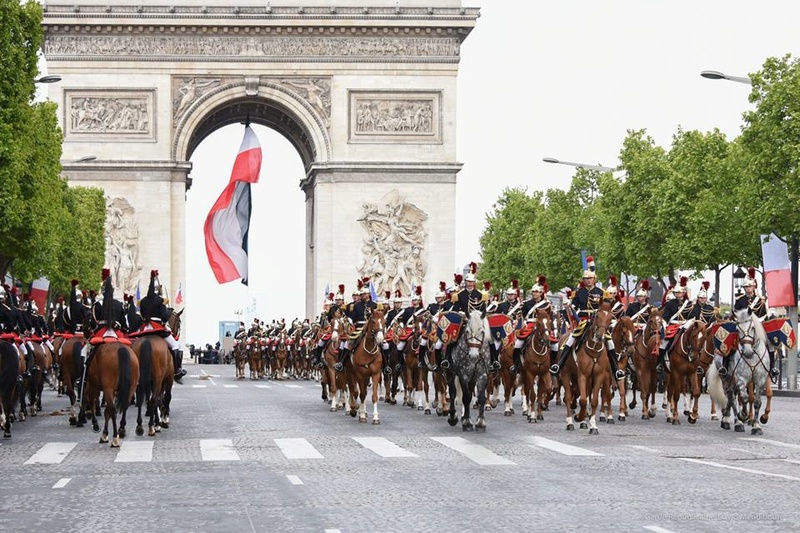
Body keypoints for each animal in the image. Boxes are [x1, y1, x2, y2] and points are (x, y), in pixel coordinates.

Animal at [708, 306, 772, 434]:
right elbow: (745, 398)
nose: (747, 351)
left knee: (732, 397)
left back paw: (727, 418)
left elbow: (757, 402)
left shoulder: (761, 380)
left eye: (752, 328)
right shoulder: (742, 379)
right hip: (726, 379)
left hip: (733, 381)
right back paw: (735, 422)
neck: (752, 357)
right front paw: (743, 415)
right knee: (731, 397)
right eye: (737, 330)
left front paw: (756, 426)